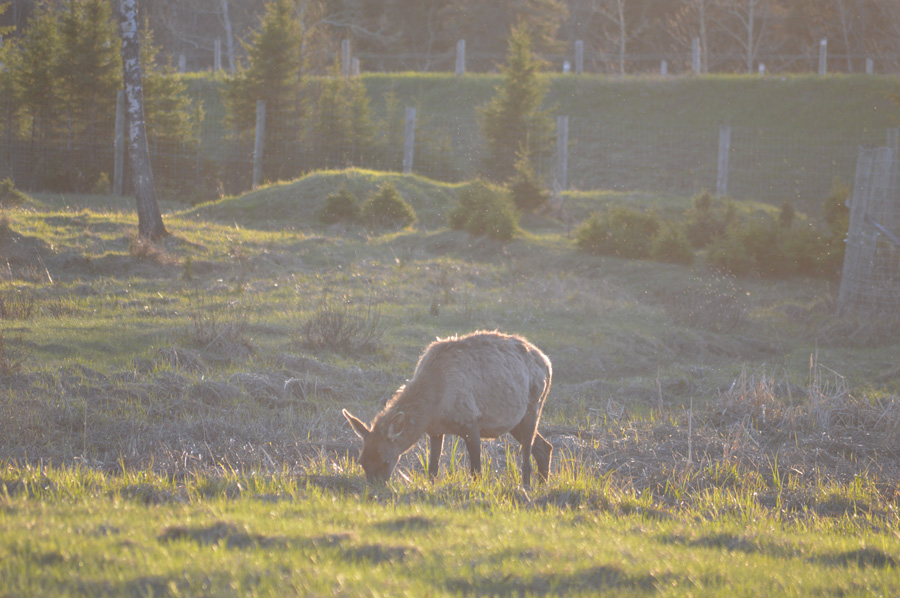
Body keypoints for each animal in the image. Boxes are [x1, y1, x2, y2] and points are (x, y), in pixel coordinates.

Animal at [342, 330, 552, 487]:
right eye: (361, 461)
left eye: (386, 460)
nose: (375, 488)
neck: (432, 410)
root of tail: (548, 363)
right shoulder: (435, 431)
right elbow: (432, 470)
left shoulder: (471, 422)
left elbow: (476, 470)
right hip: (515, 422)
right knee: (544, 447)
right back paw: (542, 485)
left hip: (534, 406)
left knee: (527, 457)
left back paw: (526, 488)